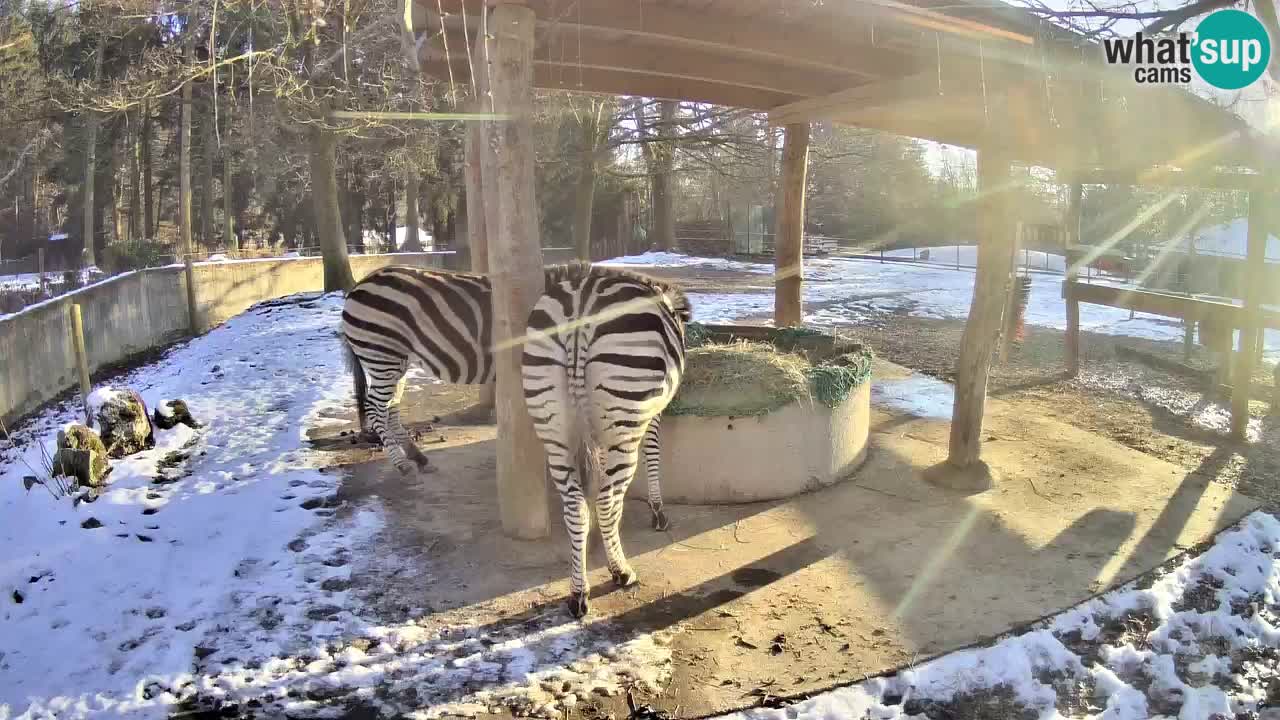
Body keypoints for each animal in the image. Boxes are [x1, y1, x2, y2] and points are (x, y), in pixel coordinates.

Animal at [340, 262, 680, 527]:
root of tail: (359, 284)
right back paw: (403, 465)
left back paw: (418, 457)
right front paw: (655, 508)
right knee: (376, 409)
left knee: (390, 408)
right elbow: (644, 445)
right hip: (382, 354)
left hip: (395, 360)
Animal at [519, 263, 691, 617]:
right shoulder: (652, 412)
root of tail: (581, 304)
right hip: (625, 421)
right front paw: (658, 511)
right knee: (607, 500)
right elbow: (653, 450)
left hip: (554, 428)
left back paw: (578, 592)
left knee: (576, 506)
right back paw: (620, 572)